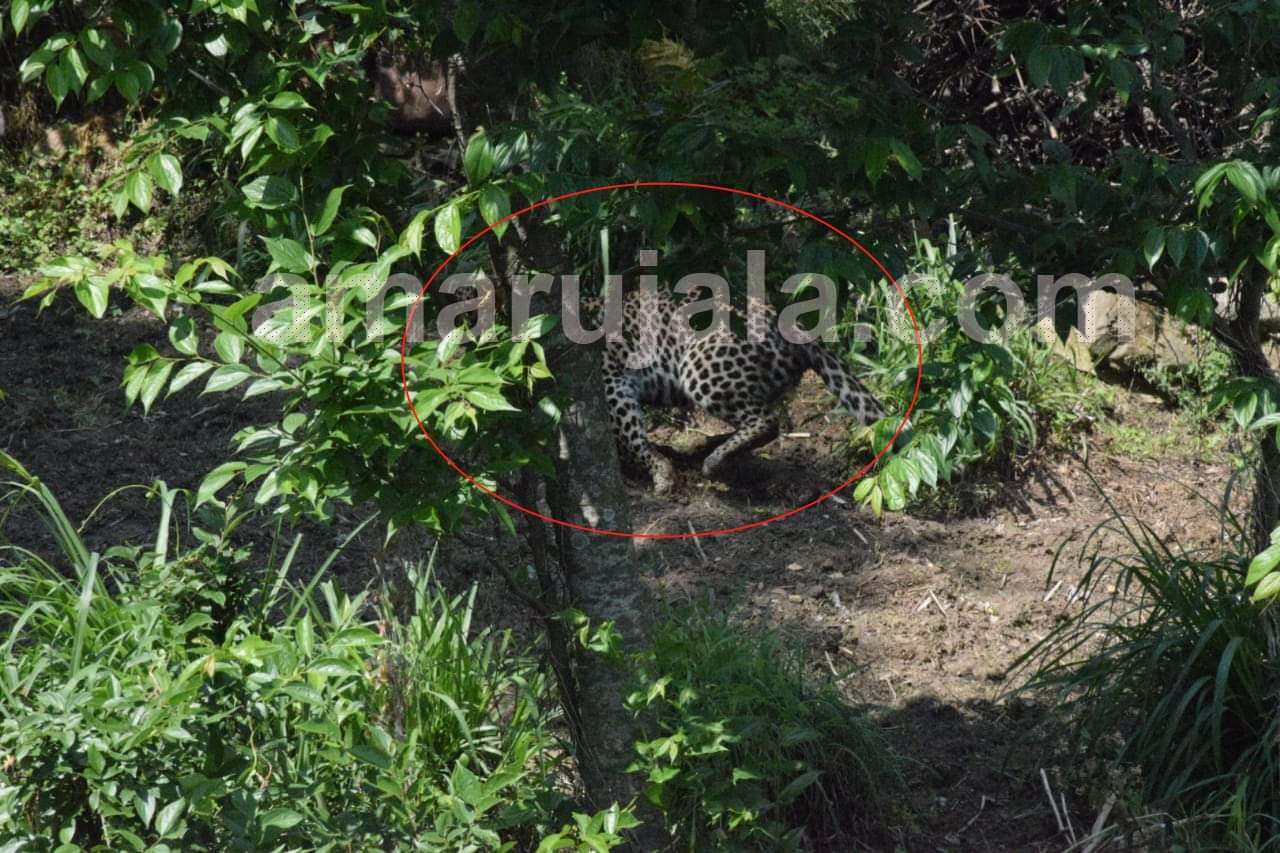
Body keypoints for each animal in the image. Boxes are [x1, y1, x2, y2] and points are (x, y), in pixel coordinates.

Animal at [583, 285, 885, 493]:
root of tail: (791, 322)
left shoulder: (611, 384)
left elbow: (630, 438)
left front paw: (661, 474)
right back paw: (711, 446)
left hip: (699, 365)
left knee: (767, 421)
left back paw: (714, 461)